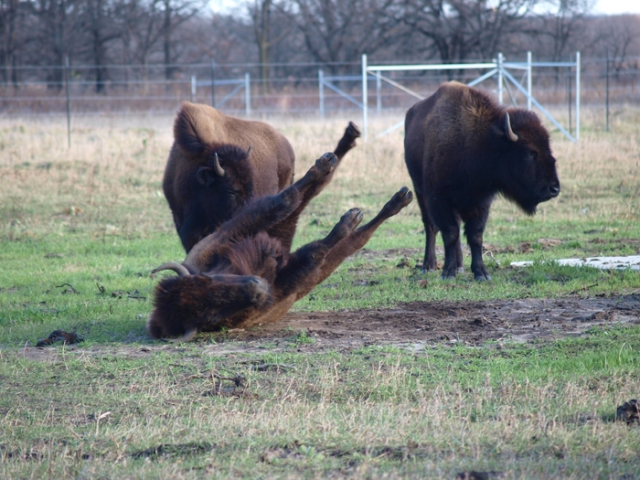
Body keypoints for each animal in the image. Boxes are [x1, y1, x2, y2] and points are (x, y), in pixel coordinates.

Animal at [148, 152, 412, 340]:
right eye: (210, 317)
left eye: (206, 279)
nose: (258, 287)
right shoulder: (287, 281)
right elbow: (316, 250)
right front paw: (346, 223)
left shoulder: (227, 236)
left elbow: (282, 201)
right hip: (313, 275)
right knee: (354, 241)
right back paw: (371, 212)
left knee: (296, 201)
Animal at [404, 80, 560, 280]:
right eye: (530, 152)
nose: (554, 188)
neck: (481, 141)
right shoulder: (439, 200)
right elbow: (450, 233)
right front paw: (448, 272)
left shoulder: (481, 202)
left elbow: (475, 236)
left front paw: (481, 273)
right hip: (419, 190)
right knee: (430, 226)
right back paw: (428, 265)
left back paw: (460, 266)